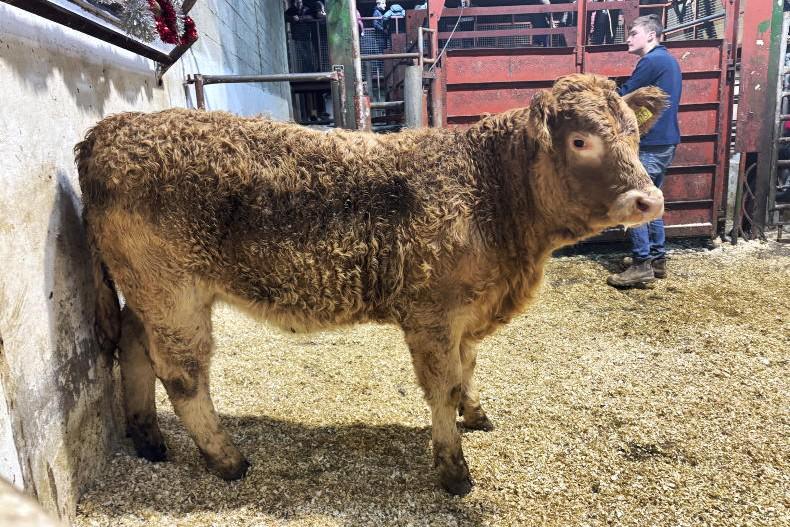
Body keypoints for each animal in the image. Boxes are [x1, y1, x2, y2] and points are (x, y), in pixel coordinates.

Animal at [76, 74, 666, 496]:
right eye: (580, 140)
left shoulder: (468, 315)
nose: (650, 199)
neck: (490, 194)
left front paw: (475, 415)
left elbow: (469, 370)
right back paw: (227, 460)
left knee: (133, 344)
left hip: (148, 292)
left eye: (635, 135)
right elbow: (444, 388)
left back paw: (148, 438)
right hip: (173, 292)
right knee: (183, 373)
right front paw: (453, 470)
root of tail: (111, 128)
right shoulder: (432, 316)